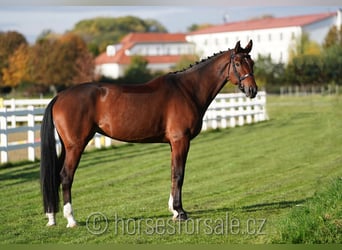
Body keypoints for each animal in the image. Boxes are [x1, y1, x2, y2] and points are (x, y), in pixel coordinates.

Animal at [39, 40, 256, 228]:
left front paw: (173, 210)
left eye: (252, 63)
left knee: (55, 176)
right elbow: (179, 174)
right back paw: (71, 219)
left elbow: (172, 172)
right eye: (238, 63)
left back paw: (52, 217)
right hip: (76, 146)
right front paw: (180, 212)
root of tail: (59, 97)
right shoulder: (181, 140)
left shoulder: (173, 143)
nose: (252, 90)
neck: (188, 90)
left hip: (66, 147)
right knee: (66, 176)